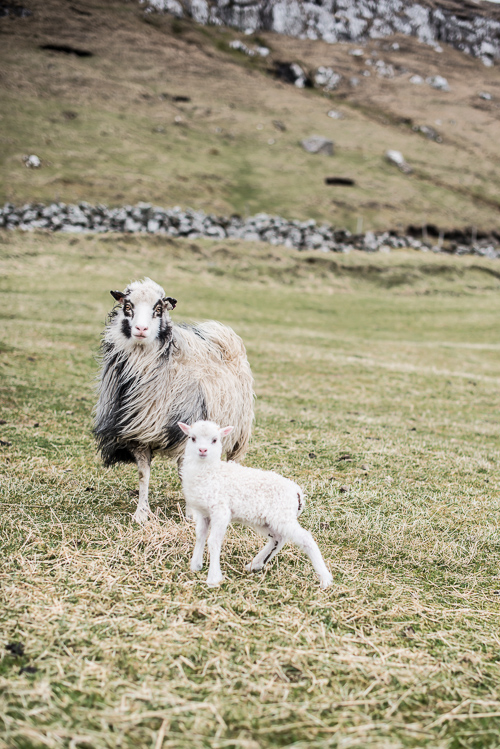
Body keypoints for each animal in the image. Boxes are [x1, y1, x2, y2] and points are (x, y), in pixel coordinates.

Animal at [94, 278, 254, 524]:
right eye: (128, 306)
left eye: (158, 310)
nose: (141, 329)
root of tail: (222, 335)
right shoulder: (138, 433)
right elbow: (143, 474)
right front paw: (141, 513)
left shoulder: (185, 431)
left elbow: (182, 471)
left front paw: (191, 514)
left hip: (239, 431)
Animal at [178, 418, 334, 588]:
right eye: (192, 438)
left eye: (215, 440)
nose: (203, 450)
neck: (210, 472)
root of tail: (297, 491)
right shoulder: (203, 512)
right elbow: (200, 536)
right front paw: (195, 565)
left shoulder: (221, 510)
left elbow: (213, 540)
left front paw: (213, 578)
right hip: (268, 520)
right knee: (278, 539)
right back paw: (256, 564)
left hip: (282, 516)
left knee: (305, 539)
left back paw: (325, 578)